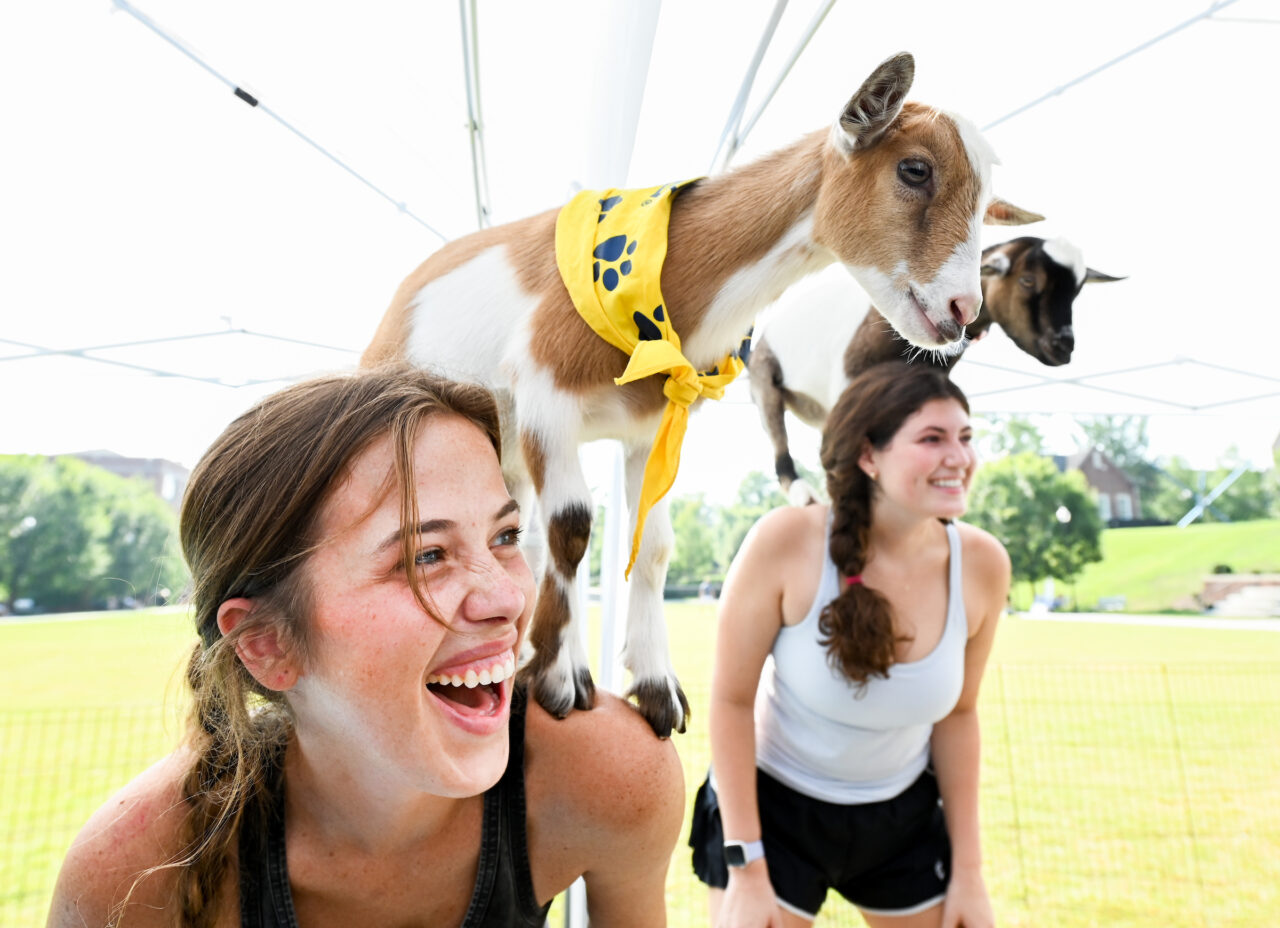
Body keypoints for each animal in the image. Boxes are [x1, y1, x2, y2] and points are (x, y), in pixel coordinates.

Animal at [361, 52, 1042, 737]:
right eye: (915, 168)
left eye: (987, 204)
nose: (962, 311)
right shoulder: (545, 392)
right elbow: (572, 528)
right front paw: (559, 678)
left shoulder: (650, 427)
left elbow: (654, 547)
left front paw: (655, 687)